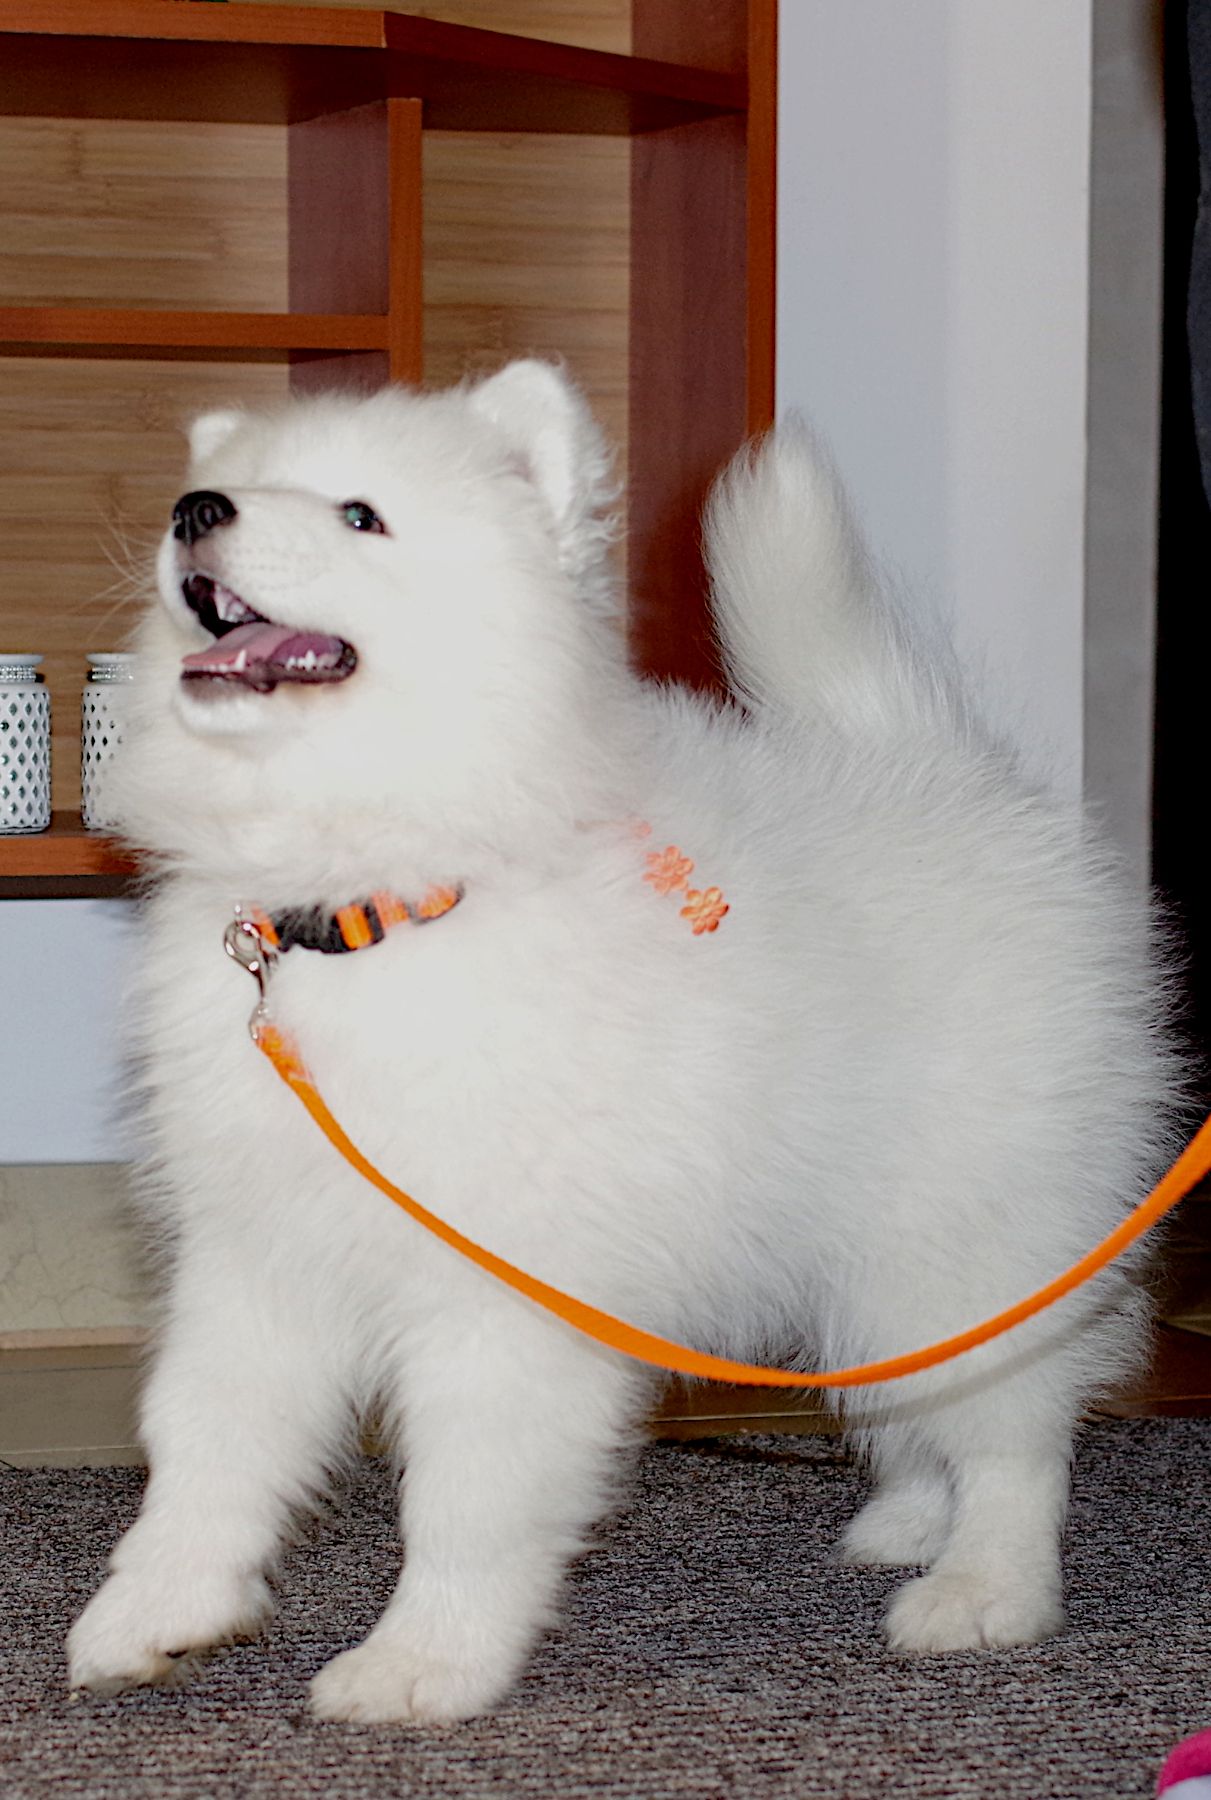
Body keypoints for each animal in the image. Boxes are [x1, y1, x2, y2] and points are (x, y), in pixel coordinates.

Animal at [66, 360, 1178, 1723]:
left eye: (359, 516)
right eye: (223, 487)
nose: (195, 511)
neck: (371, 904)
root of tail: (951, 776)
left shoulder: (507, 1288)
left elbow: (465, 1497)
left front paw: (423, 1662)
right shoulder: (255, 1250)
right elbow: (205, 1445)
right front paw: (153, 1614)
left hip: (959, 1231)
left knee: (1013, 1427)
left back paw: (983, 1588)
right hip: (866, 1254)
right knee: (925, 1399)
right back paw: (912, 1522)